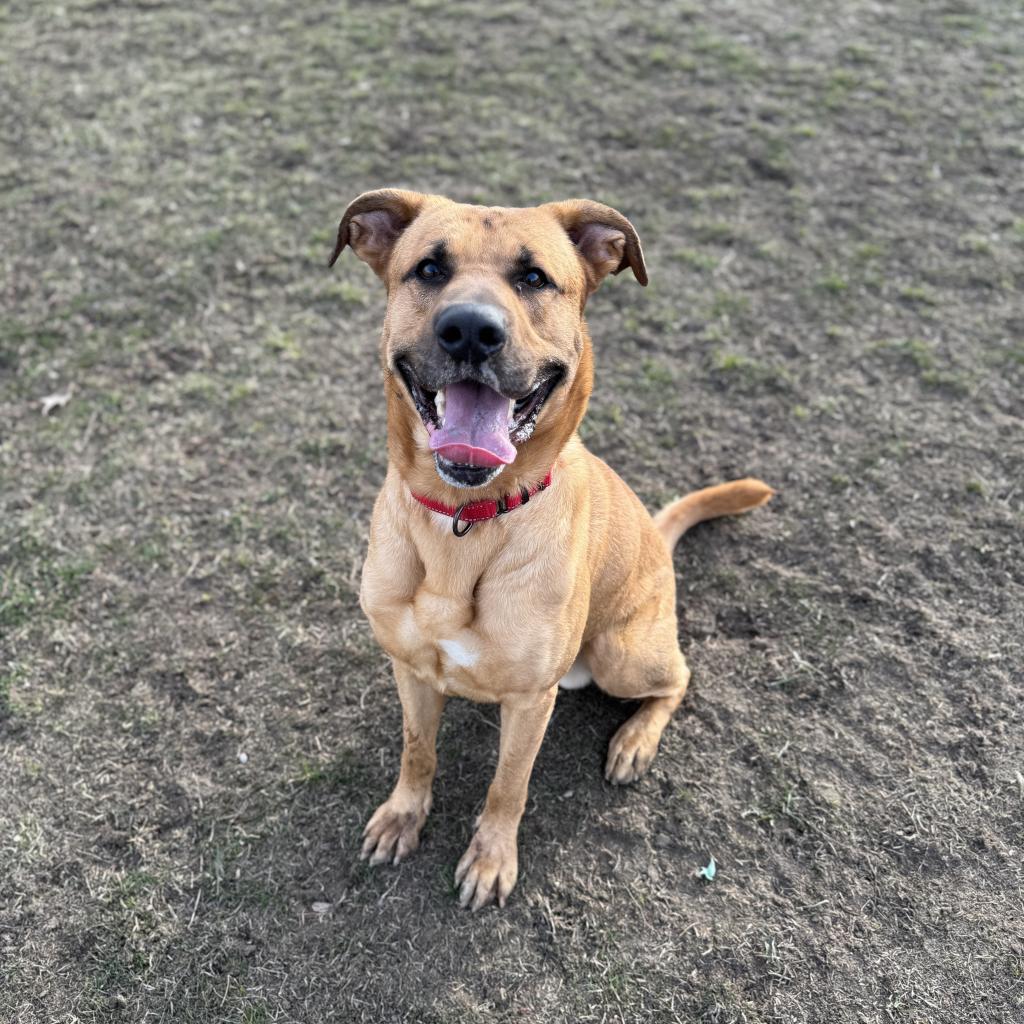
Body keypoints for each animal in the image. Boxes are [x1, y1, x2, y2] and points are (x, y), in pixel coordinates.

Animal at [327, 192, 770, 913]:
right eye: (428, 269)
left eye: (534, 277)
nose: (469, 331)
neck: (467, 522)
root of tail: (658, 536)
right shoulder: (411, 669)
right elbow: (418, 751)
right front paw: (403, 816)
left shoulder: (533, 700)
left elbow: (508, 785)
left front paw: (490, 859)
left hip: (622, 654)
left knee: (679, 677)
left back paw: (634, 742)